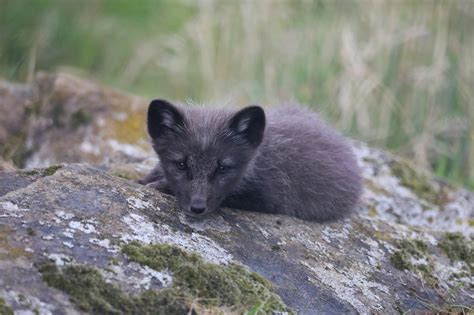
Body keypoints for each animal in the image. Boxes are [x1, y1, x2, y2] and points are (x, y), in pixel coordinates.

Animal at [139, 99, 362, 222]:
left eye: (222, 168)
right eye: (181, 165)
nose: (197, 207)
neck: (256, 163)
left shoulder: (271, 198)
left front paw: (160, 185)